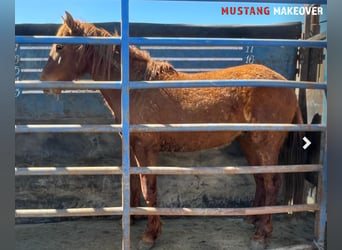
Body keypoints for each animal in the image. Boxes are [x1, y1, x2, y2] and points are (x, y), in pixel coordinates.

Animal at [40, 11, 304, 250]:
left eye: (60, 47)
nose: (44, 84)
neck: (133, 89)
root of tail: (286, 84)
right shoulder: (133, 148)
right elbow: (133, 183)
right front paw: (133, 219)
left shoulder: (146, 149)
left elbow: (149, 189)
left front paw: (150, 235)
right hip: (249, 143)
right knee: (260, 179)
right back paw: (252, 219)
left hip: (265, 144)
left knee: (271, 183)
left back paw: (261, 234)